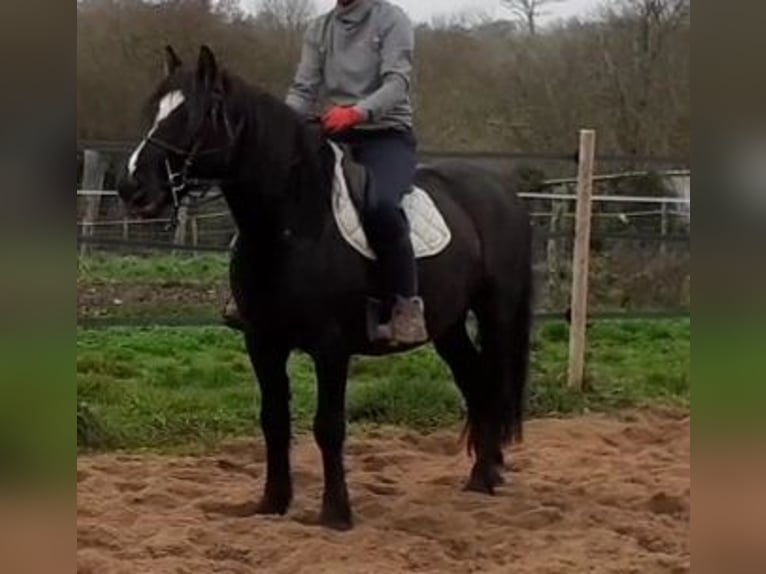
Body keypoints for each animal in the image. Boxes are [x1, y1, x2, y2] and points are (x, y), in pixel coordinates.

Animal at [120, 47, 536, 532]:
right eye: (154, 109)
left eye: (196, 114)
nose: (132, 187)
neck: (292, 225)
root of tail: (501, 191)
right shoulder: (262, 342)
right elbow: (274, 420)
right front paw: (272, 503)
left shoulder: (330, 346)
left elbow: (328, 426)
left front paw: (336, 513)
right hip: (447, 323)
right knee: (476, 382)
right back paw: (481, 475)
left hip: (496, 311)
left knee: (492, 382)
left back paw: (487, 476)